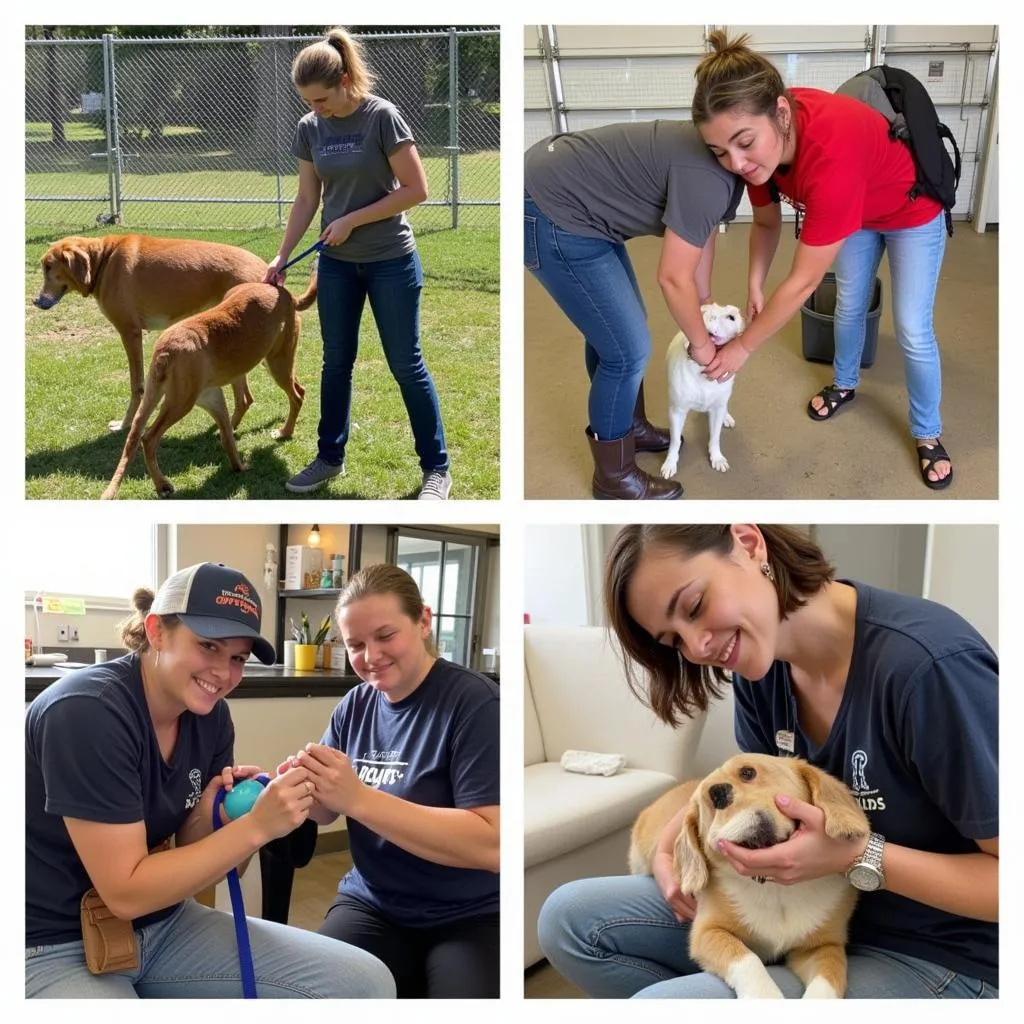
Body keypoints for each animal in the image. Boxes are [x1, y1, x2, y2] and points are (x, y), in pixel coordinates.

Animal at [34, 235, 270, 432]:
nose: (35, 301)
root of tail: (264, 267)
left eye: (48, 267)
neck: (103, 260)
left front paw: (125, 424)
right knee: (246, 398)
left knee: (246, 397)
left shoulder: (130, 333)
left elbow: (135, 385)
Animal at [626, 753, 868, 999]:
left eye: (748, 772)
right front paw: (765, 996)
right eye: (709, 800)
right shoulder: (707, 933)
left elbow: (828, 979)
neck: (776, 887)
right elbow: (746, 959)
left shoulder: (823, 947)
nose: (718, 792)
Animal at [663, 301, 745, 477]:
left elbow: (715, 437)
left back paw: (726, 417)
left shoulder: (716, 410)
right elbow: (675, 440)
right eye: (731, 317)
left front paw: (717, 457)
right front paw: (670, 462)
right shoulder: (677, 412)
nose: (737, 311)